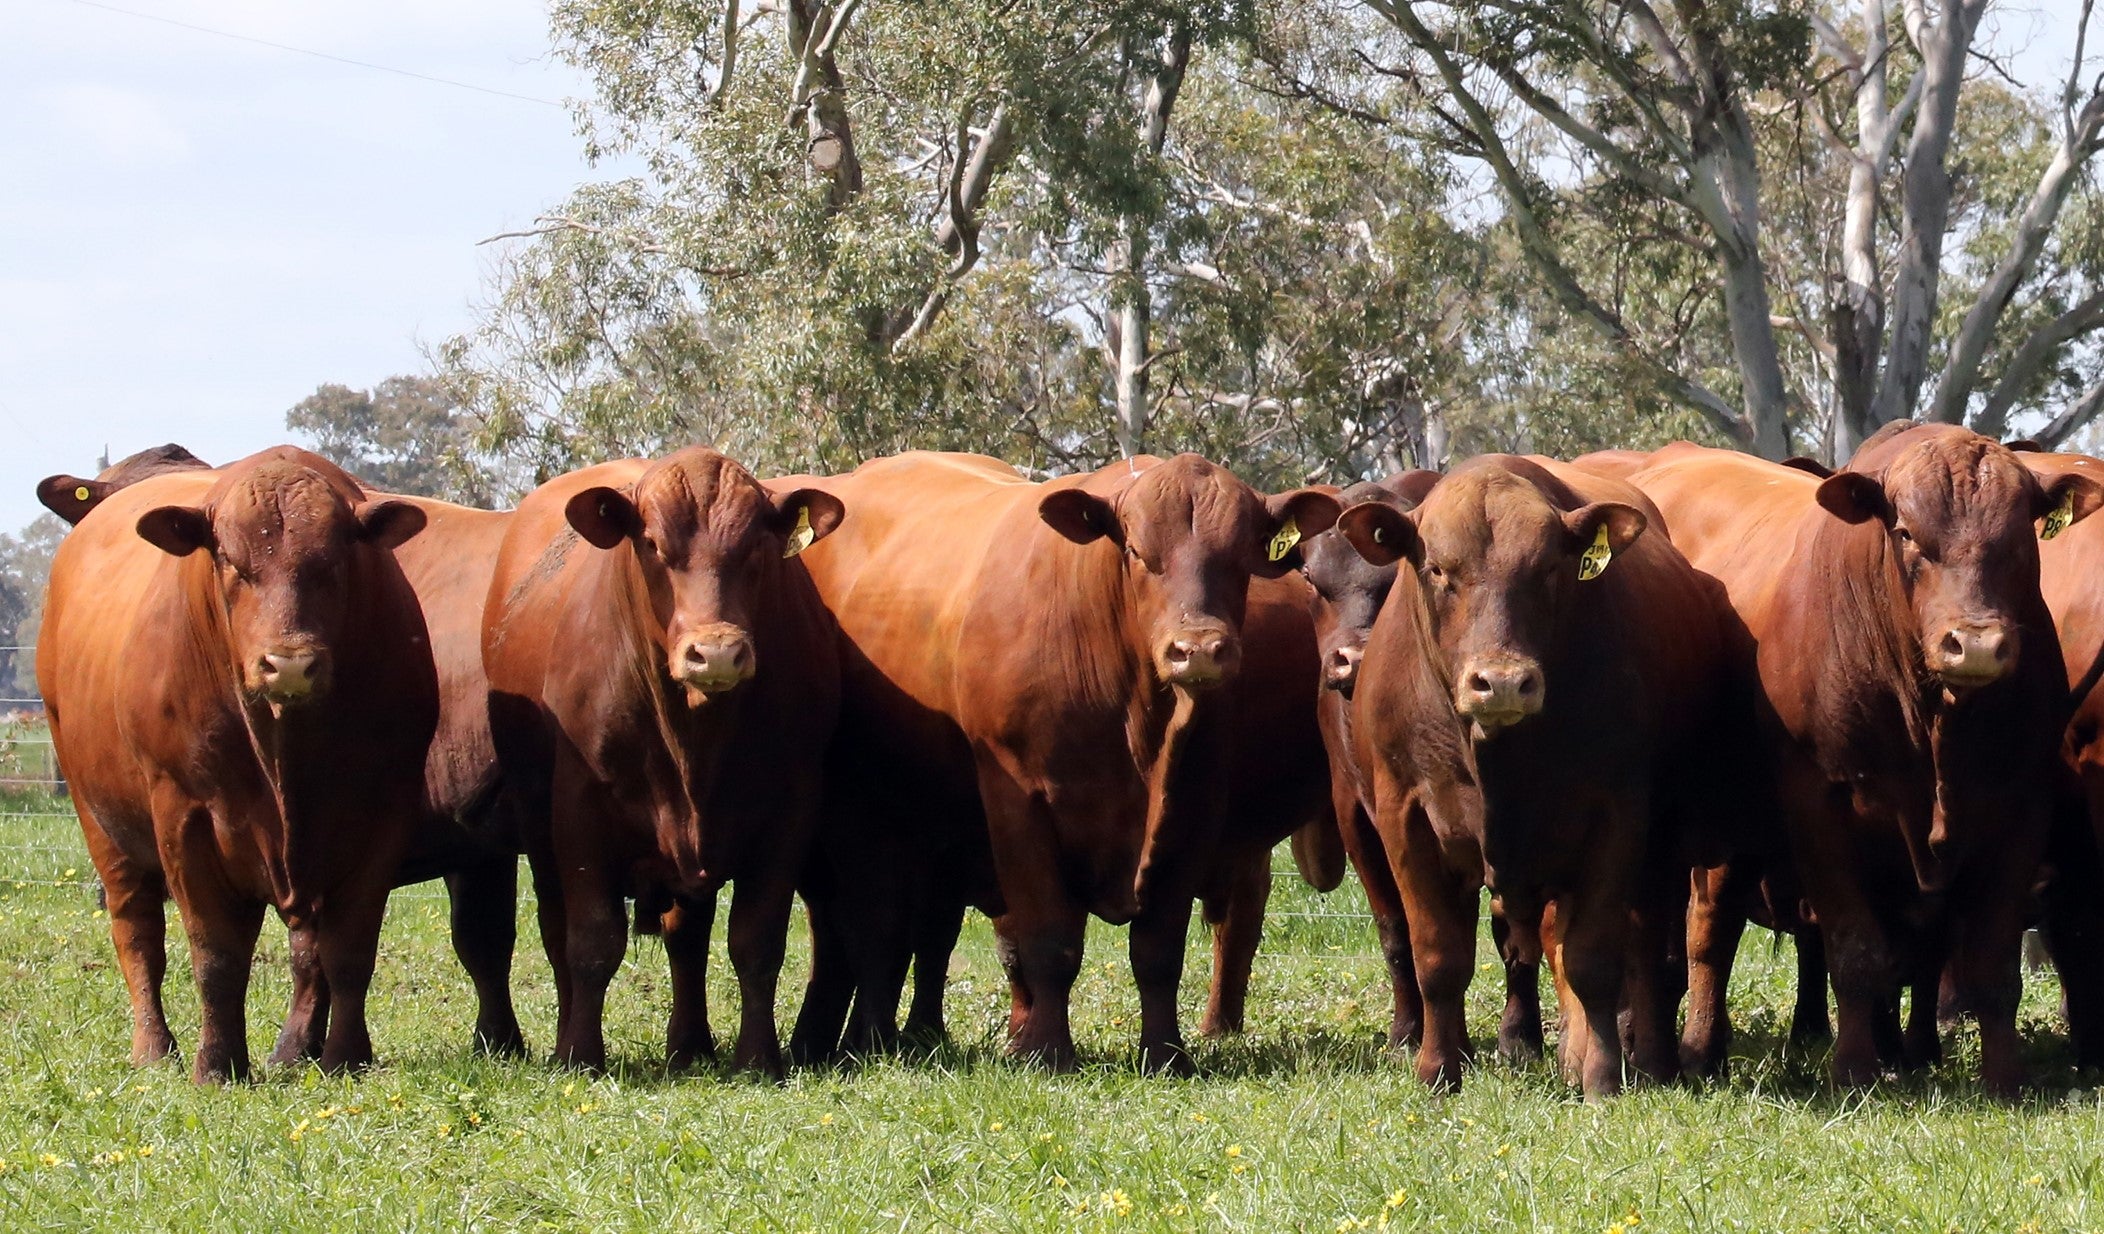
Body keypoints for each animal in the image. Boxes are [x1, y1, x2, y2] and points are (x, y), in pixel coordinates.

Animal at [42, 450, 530, 1063]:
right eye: (229, 561)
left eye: (333, 562)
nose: (289, 662)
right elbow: (237, 954)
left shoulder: (391, 824)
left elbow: (345, 951)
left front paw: (321, 1052)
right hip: (102, 825)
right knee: (138, 935)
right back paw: (154, 1047)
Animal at [482, 446, 843, 1076]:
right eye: (651, 543)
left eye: (756, 544)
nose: (717, 652)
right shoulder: (577, 812)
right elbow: (592, 941)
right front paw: (580, 1055)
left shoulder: (789, 812)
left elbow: (756, 942)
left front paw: (757, 1058)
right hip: (536, 823)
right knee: (556, 933)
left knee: (687, 939)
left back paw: (690, 1044)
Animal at [782, 451, 1339, 1073]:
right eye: (1137, 552)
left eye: (1244, 555)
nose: (1198, 649)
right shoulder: (1018, 801)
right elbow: (1048, 941)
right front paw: (1046, 1051)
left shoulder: (1191, 804)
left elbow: (1159, 950)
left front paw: (1165, 1055)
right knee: (879, 931)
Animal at [1340, 454, 1760, 1097]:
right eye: (1437, 569)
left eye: (1548, 568)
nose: (1502, 682)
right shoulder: (1404, 820)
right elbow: (1438, 957)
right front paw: (1438, 1071)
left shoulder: (1616, 819)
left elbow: (1594, 961)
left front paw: (1602, 1078)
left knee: (1644, 954)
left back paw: (1650, 1061)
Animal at [1595, 425, 2100, 1096]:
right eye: (1906, 532)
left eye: (2022, 531)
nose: (1976, 645)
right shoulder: (1820, 806)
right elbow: (1855, 952)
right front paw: (1855, 1070)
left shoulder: (2020, 809)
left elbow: (1991, 964)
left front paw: (2003, 1079)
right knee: (1708, 937)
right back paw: (1700, 1050)